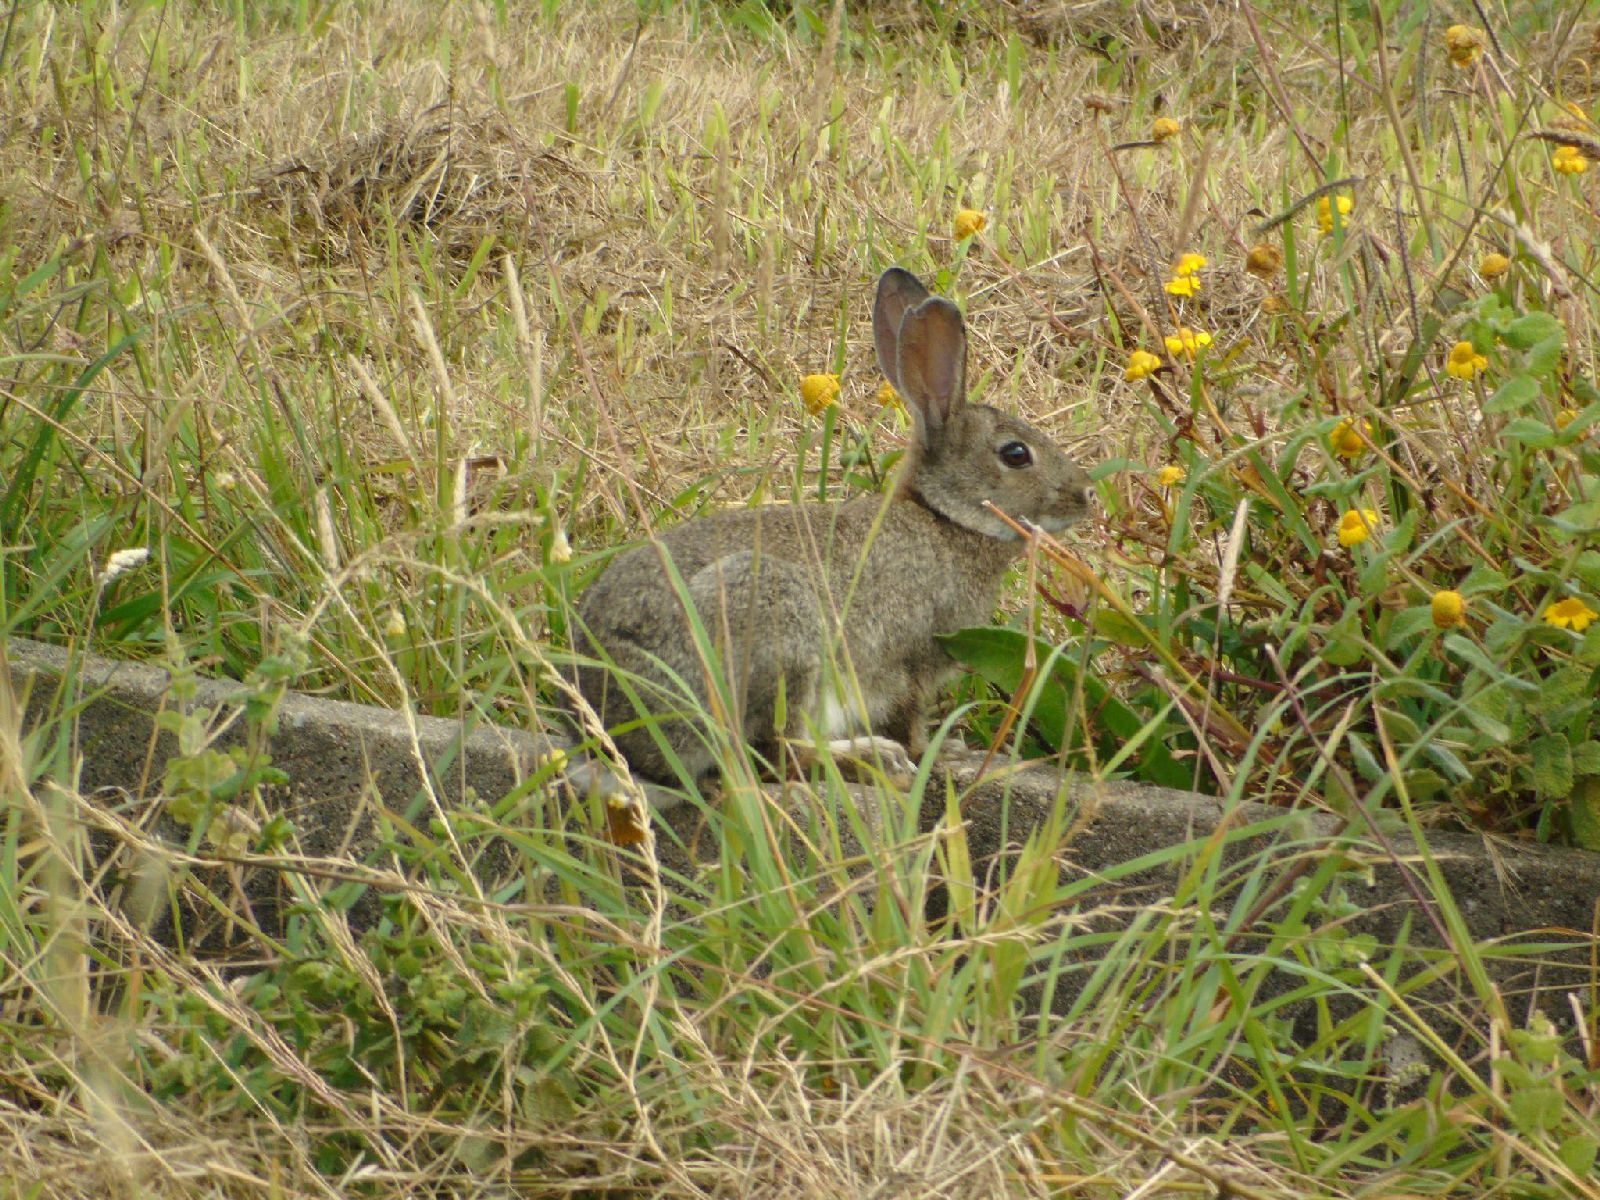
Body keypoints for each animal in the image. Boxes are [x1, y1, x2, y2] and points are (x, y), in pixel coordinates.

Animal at [573, 267, 1094, 789]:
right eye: (1016, 454)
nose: (1086, 494)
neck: (943, 517)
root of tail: (614, 700)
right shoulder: (907, 663)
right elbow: (907, 720)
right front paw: (940, 757)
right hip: (778, 626)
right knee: (779, 754)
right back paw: (874, 759)